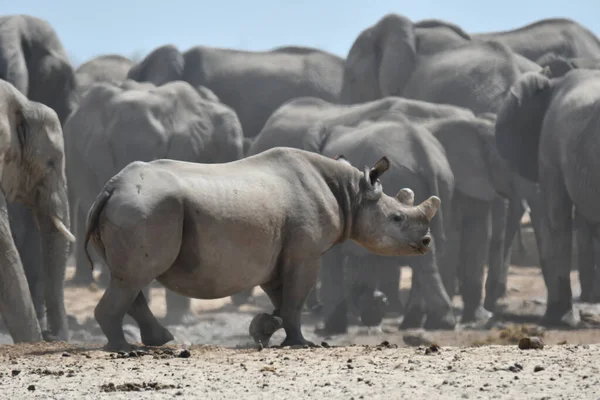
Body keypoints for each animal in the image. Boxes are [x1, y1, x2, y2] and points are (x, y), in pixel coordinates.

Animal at [84, 148, 440, 350]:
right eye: (396, 218)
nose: (426, 243)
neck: (351, 193)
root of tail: (111, 187)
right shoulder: (305, 253)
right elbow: (296, 299)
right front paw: (302, 344)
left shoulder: (278, 255)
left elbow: (282, 298)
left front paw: (264, 329)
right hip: (145, 207)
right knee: (134, 279)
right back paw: (125, 349)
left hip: (133, 208)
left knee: (129, 279)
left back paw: (158, 341)